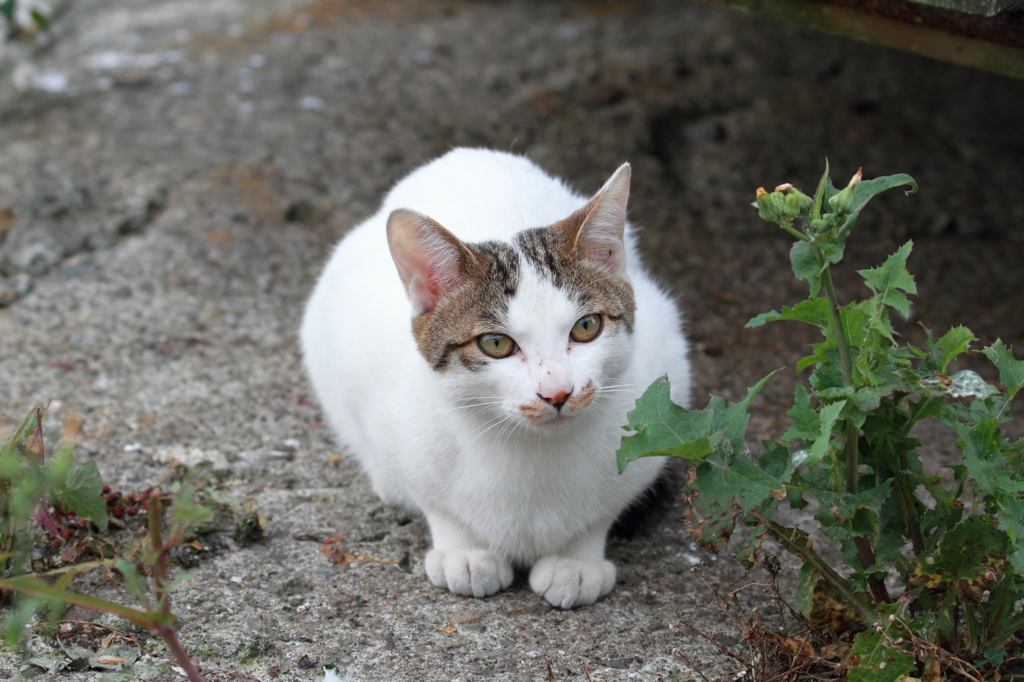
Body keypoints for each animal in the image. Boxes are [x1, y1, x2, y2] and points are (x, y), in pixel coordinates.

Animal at [299, 147, 692, 606]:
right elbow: (433, 500)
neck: (531, 455)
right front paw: (465, 551)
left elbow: (604, 510)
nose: (557, 392)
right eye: (496, 343)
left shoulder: (662, 380)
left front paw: (576, 558)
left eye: (587, 326)